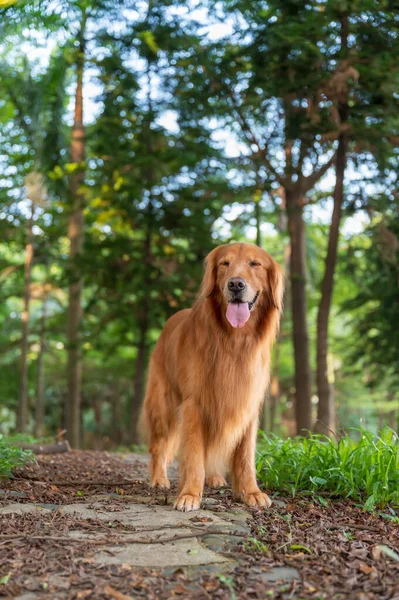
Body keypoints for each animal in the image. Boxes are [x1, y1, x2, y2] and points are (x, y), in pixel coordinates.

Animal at [141, 243, 284, 510]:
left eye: (255, 264)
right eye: (224, 264)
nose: (235, 284)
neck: (235, 341)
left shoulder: (246, 403)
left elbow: (244, 455)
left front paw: (251, 492)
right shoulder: (194, 404)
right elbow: (194, 454)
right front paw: (189, 494)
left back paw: (215, 477)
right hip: (163, 403)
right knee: (159, 445)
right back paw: (159, 478)